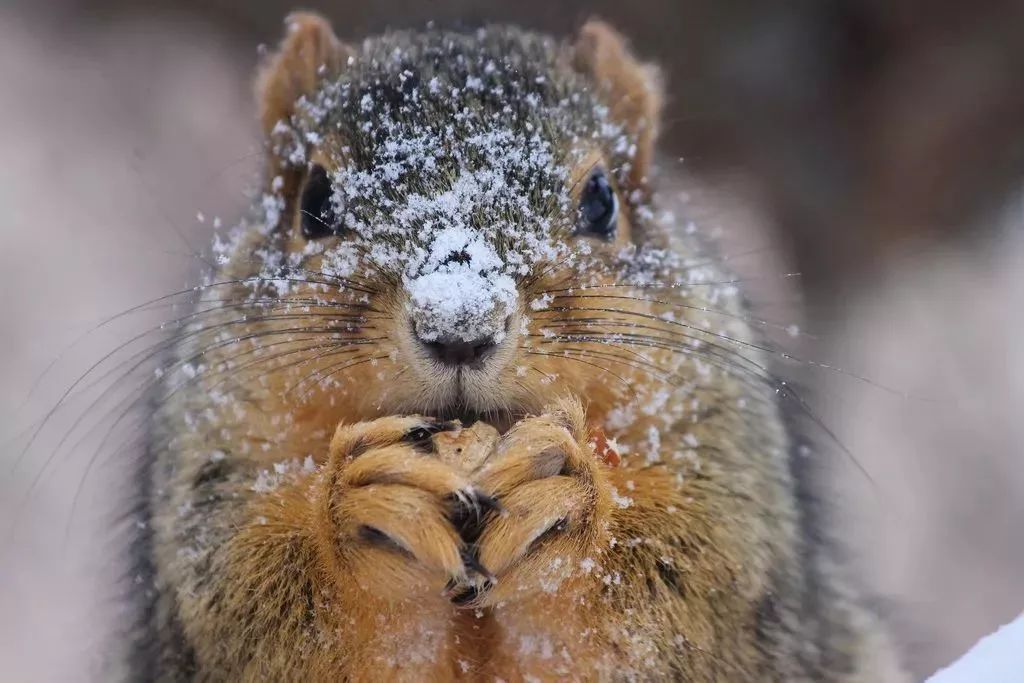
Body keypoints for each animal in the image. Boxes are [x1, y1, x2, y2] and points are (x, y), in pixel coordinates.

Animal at [123, 12, 909, 683]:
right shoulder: (215, 469)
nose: (459, 326)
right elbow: (258, 608)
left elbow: (674, 593)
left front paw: (566, 494)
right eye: (312, 201)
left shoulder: (723, 471)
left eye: (603, 200)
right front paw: (363, 503)